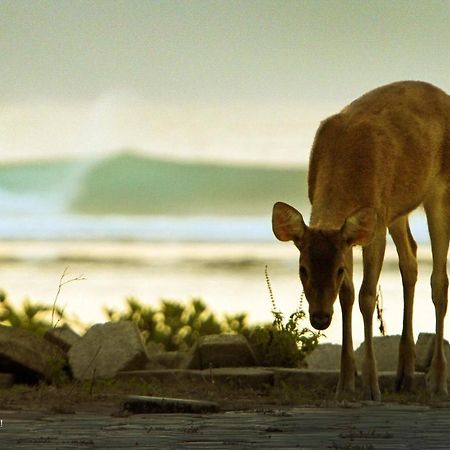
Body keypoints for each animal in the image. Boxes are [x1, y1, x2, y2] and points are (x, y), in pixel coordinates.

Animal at [272, 81, 448, 400]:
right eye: (302, 269)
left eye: (338, 270)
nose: (319, 318)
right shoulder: (355, 233)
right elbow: (347, 296)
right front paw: (344, 384)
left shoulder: (373, 227)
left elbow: (367, 296)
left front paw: (371, 386)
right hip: (397, 209)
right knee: (411, 259)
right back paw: (405, 374)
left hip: (439, 190)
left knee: (440, 280)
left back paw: (438, 382)